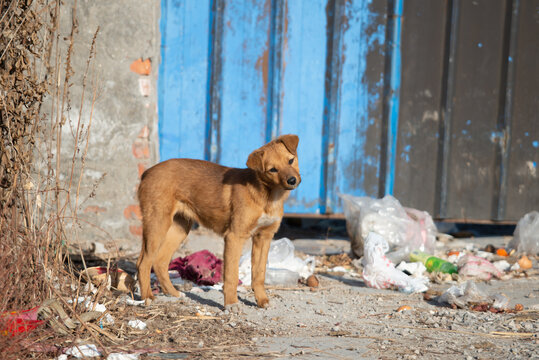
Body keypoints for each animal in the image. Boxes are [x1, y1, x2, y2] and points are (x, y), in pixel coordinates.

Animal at [135, 135, 302, 310]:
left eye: (291, 160)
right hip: (157, 224)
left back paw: (173, 293)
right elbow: (231, 275)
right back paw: (147, 298)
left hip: (179, 228)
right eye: (272, 170)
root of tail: (147, 172)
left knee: (159, 262)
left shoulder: (264, 237)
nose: (292, 180)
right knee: (144, 263)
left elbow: (259, 273)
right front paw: (231, 303)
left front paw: (262, 300)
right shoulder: (234, 236)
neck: (267, 196)